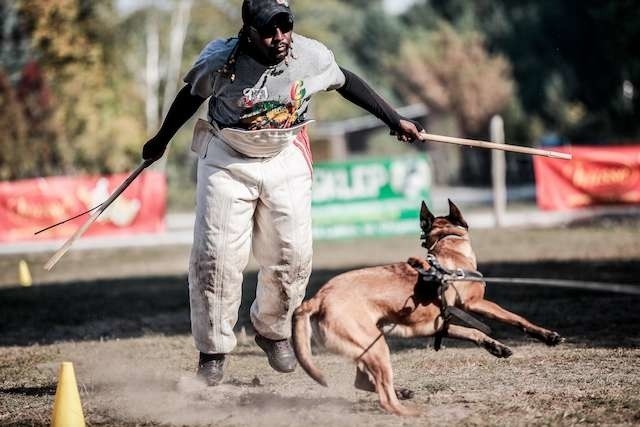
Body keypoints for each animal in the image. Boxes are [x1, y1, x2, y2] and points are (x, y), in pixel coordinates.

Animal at [292, 201, 564, 418]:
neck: (447, 248)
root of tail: (317, 298)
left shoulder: (441, 323)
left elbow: (474, 333)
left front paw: (495, 347)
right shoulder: (475, 304)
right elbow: (517, 318)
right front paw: (548, 336)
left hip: (369, 343)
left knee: (364, 382)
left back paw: (402, 392)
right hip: (376, 347)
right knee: (384, 398)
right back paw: (409, 410)